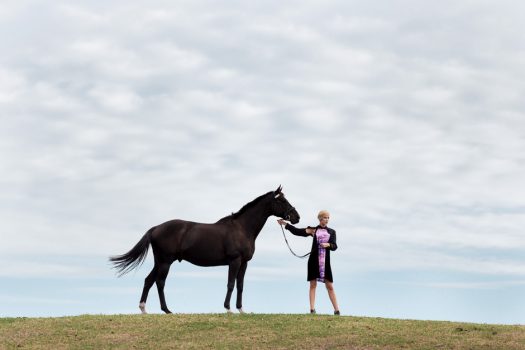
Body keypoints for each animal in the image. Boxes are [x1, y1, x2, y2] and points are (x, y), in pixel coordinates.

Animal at [109, 186, 298, 314]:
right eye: (281, 200)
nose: (296, 217)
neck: (242, 228)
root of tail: (155, 228)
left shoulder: (244, 263)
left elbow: (240, 285)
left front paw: (241, 310)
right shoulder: (234, 261)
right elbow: (230, 284)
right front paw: (228, 309)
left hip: (160, 262)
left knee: (149, 280)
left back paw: (144, 309)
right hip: (165, 262)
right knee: (160, 282)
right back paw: (167, 310)